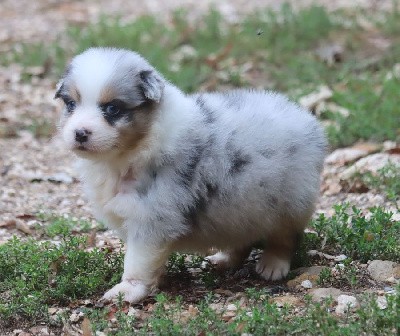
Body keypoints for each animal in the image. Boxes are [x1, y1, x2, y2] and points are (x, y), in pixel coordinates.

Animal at [54, 48, 326, 304]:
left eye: (112, 108)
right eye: (71, 105)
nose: (80, 133)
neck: (130, 152)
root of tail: (307, 120)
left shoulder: (152, 217)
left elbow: (138, 261)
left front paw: (128, 290)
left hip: (288, 199)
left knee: (285, 236)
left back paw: (273, 265)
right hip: (243, 204)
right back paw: (224, 259)